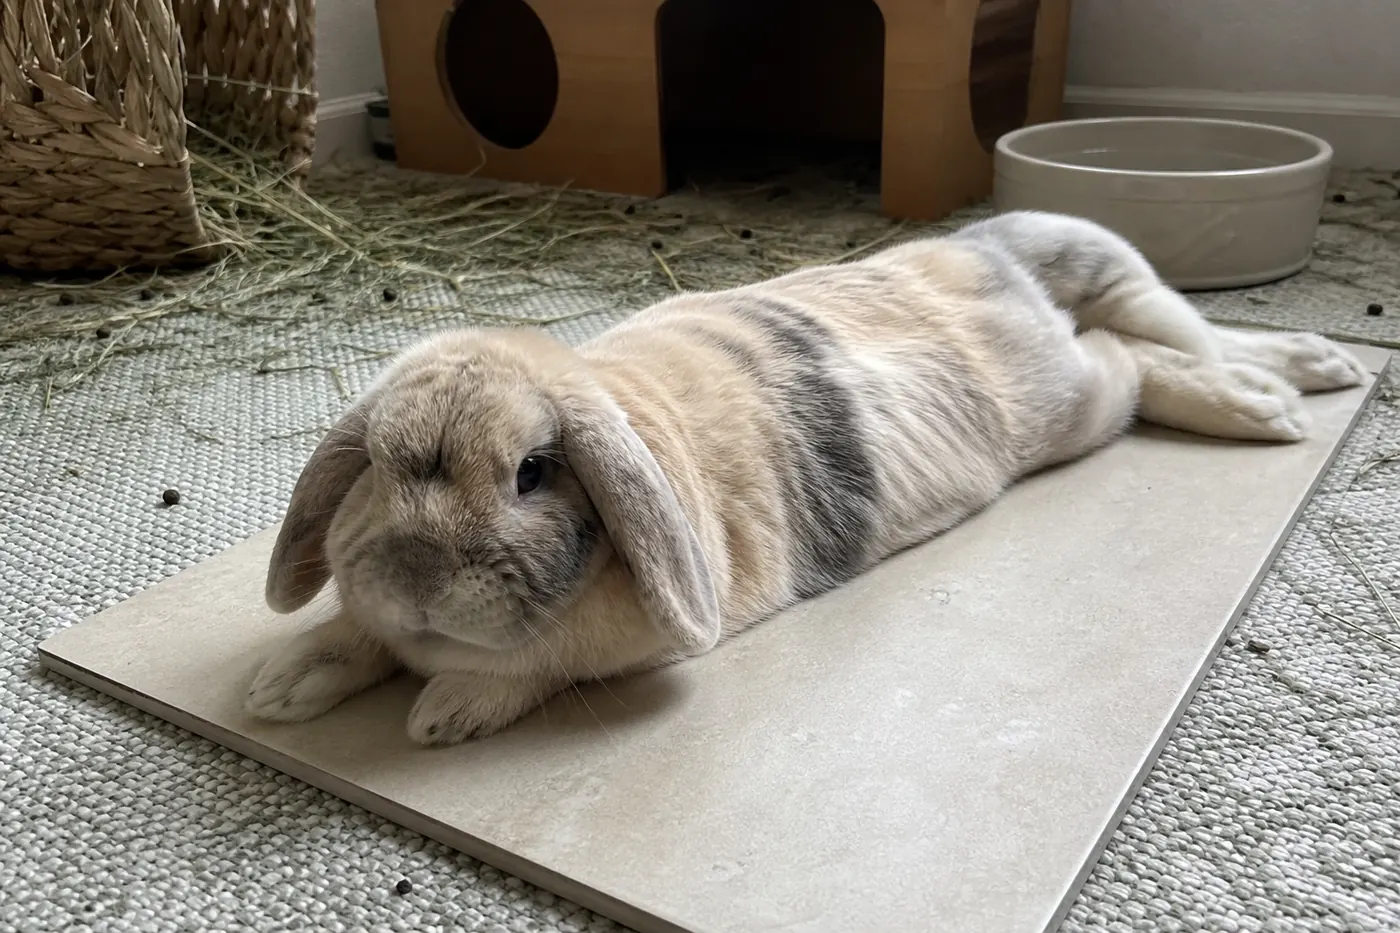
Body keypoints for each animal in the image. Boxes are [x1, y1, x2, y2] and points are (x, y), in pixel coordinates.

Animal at [245, 209, 1367, 745]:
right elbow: (352, 635)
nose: (418, 582)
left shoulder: (628, 643)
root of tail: (987, 256)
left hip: (1071, 400)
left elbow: (535, 665)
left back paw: (1270, 402)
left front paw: (444, 713)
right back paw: (1304, 374)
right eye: (374, 468)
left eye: (532, 471)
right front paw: (281, 685)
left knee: (1140, 358)